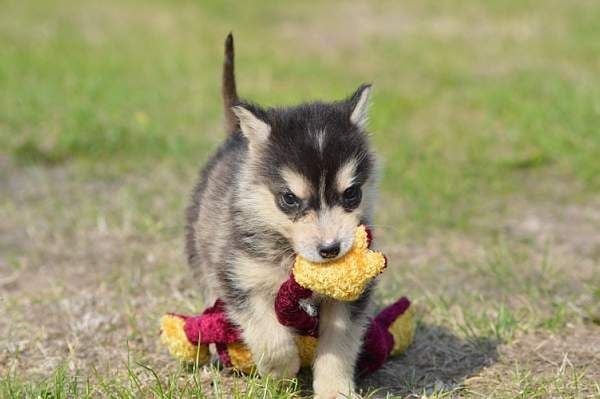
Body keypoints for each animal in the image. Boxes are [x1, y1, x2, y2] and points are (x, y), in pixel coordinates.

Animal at [184, 33, 380, 396]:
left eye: (351, 194)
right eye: (289, 199)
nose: (330, 250)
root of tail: (236, 137)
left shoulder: (349, 300)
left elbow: (339, 346)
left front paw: (335, 390)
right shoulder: (240, 278)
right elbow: (269, 335)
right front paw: (281, 370)